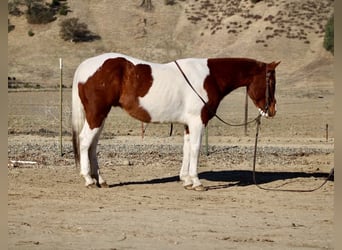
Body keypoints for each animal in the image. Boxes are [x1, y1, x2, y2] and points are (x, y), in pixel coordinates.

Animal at [72, 52, 280, 189]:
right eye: (271, 82)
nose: (272, 110)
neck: (210, 77)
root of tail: (84, 66)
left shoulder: (188, 124)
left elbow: (186, 148)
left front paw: (186, 179)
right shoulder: (198, 121)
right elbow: (195, 148)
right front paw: (196, 182)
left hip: (100, 116)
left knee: (93, 145)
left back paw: (100, 180)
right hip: (96, 114)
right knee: (85, 141)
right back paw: (89, 180)